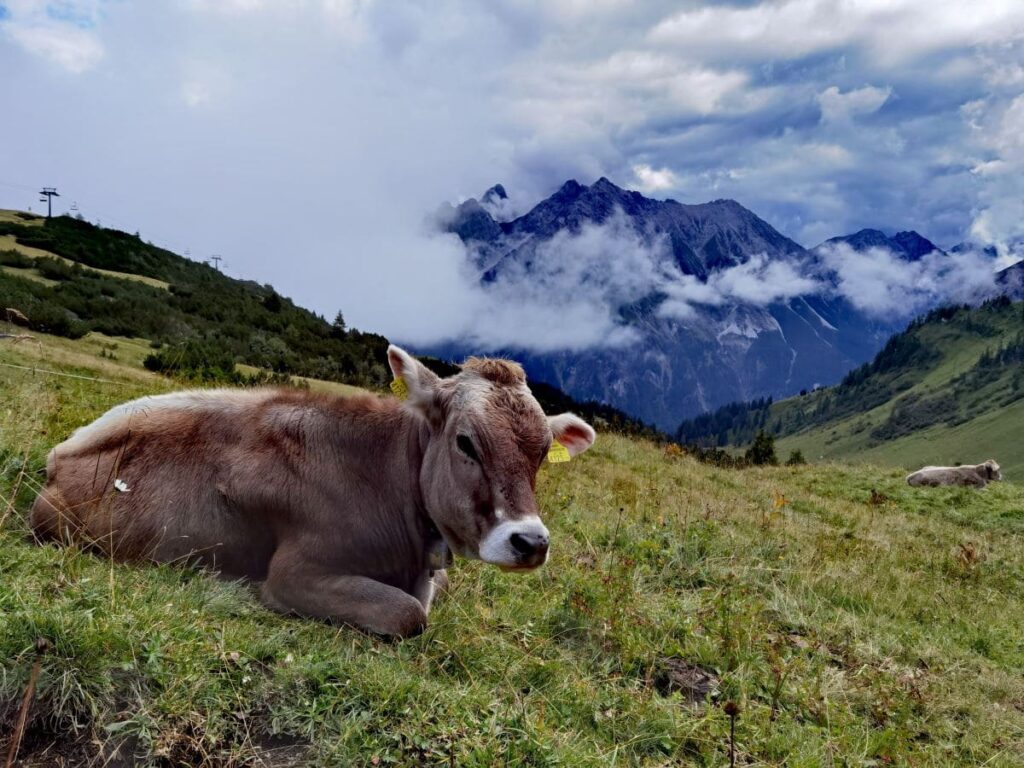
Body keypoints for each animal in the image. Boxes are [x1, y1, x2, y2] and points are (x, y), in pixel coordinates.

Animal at [32, 348, 598, 638]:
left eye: (542, 454)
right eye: (466, 442)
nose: (531, 542)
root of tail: (59, 454)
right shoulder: (295, 573)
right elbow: (409, 614)